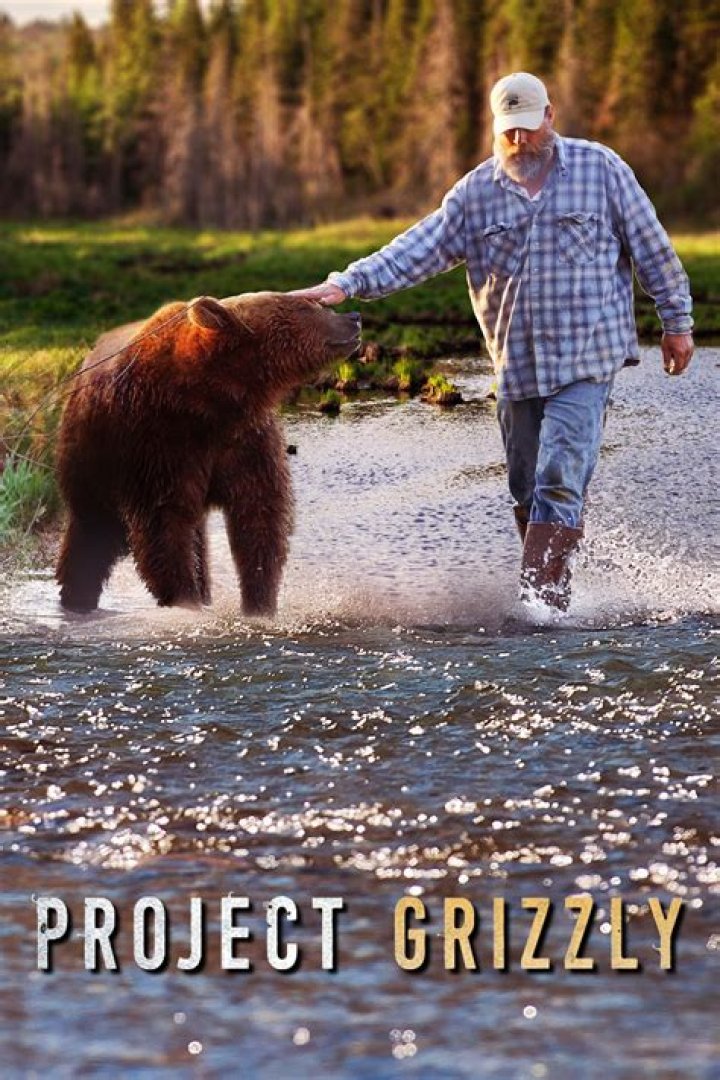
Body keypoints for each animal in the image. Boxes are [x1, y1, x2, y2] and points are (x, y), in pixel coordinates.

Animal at [55, 293, 361, 616]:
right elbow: (164, 526)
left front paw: (259, 603)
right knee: (91, 535)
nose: (353, 316)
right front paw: (184, 601)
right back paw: (77, 599)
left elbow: (259, 515)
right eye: (306, 305)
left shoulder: (244, 440)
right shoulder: (157, 441)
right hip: (92, 462)